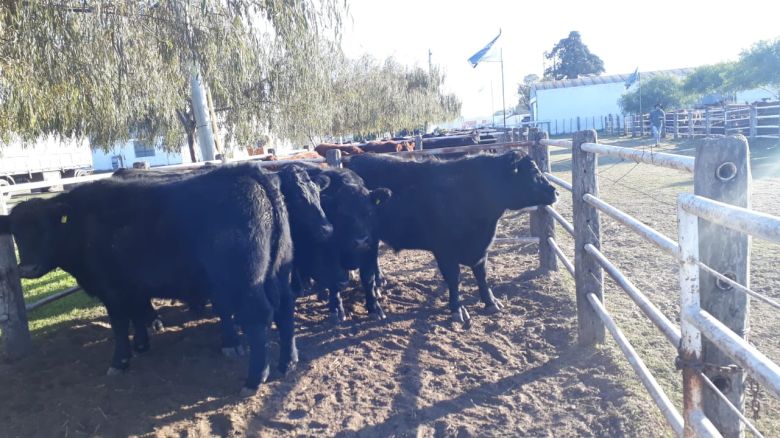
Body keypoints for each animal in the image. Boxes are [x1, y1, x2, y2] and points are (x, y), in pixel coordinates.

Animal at [0, 163, 322, 394]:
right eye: (16, 233)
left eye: (45, 228)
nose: (27, 268)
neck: (83, 224)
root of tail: (248, 171)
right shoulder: (131, 286)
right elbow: (137, 314)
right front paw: (142, 345)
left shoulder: (112, 289)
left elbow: (120, 325)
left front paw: (120, 361)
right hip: (279, 270)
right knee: (284, 307)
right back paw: (287, 363)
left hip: (245, 279)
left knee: (259, 315)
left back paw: (255, 379)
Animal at [346, 152, 556, 326]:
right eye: (532, 171)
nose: (554, 191)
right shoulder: (445, 251)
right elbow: (454, 279)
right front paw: (457, 309)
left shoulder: (481, 249)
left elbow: (482, 275)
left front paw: (491, 302)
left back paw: (379, 284)